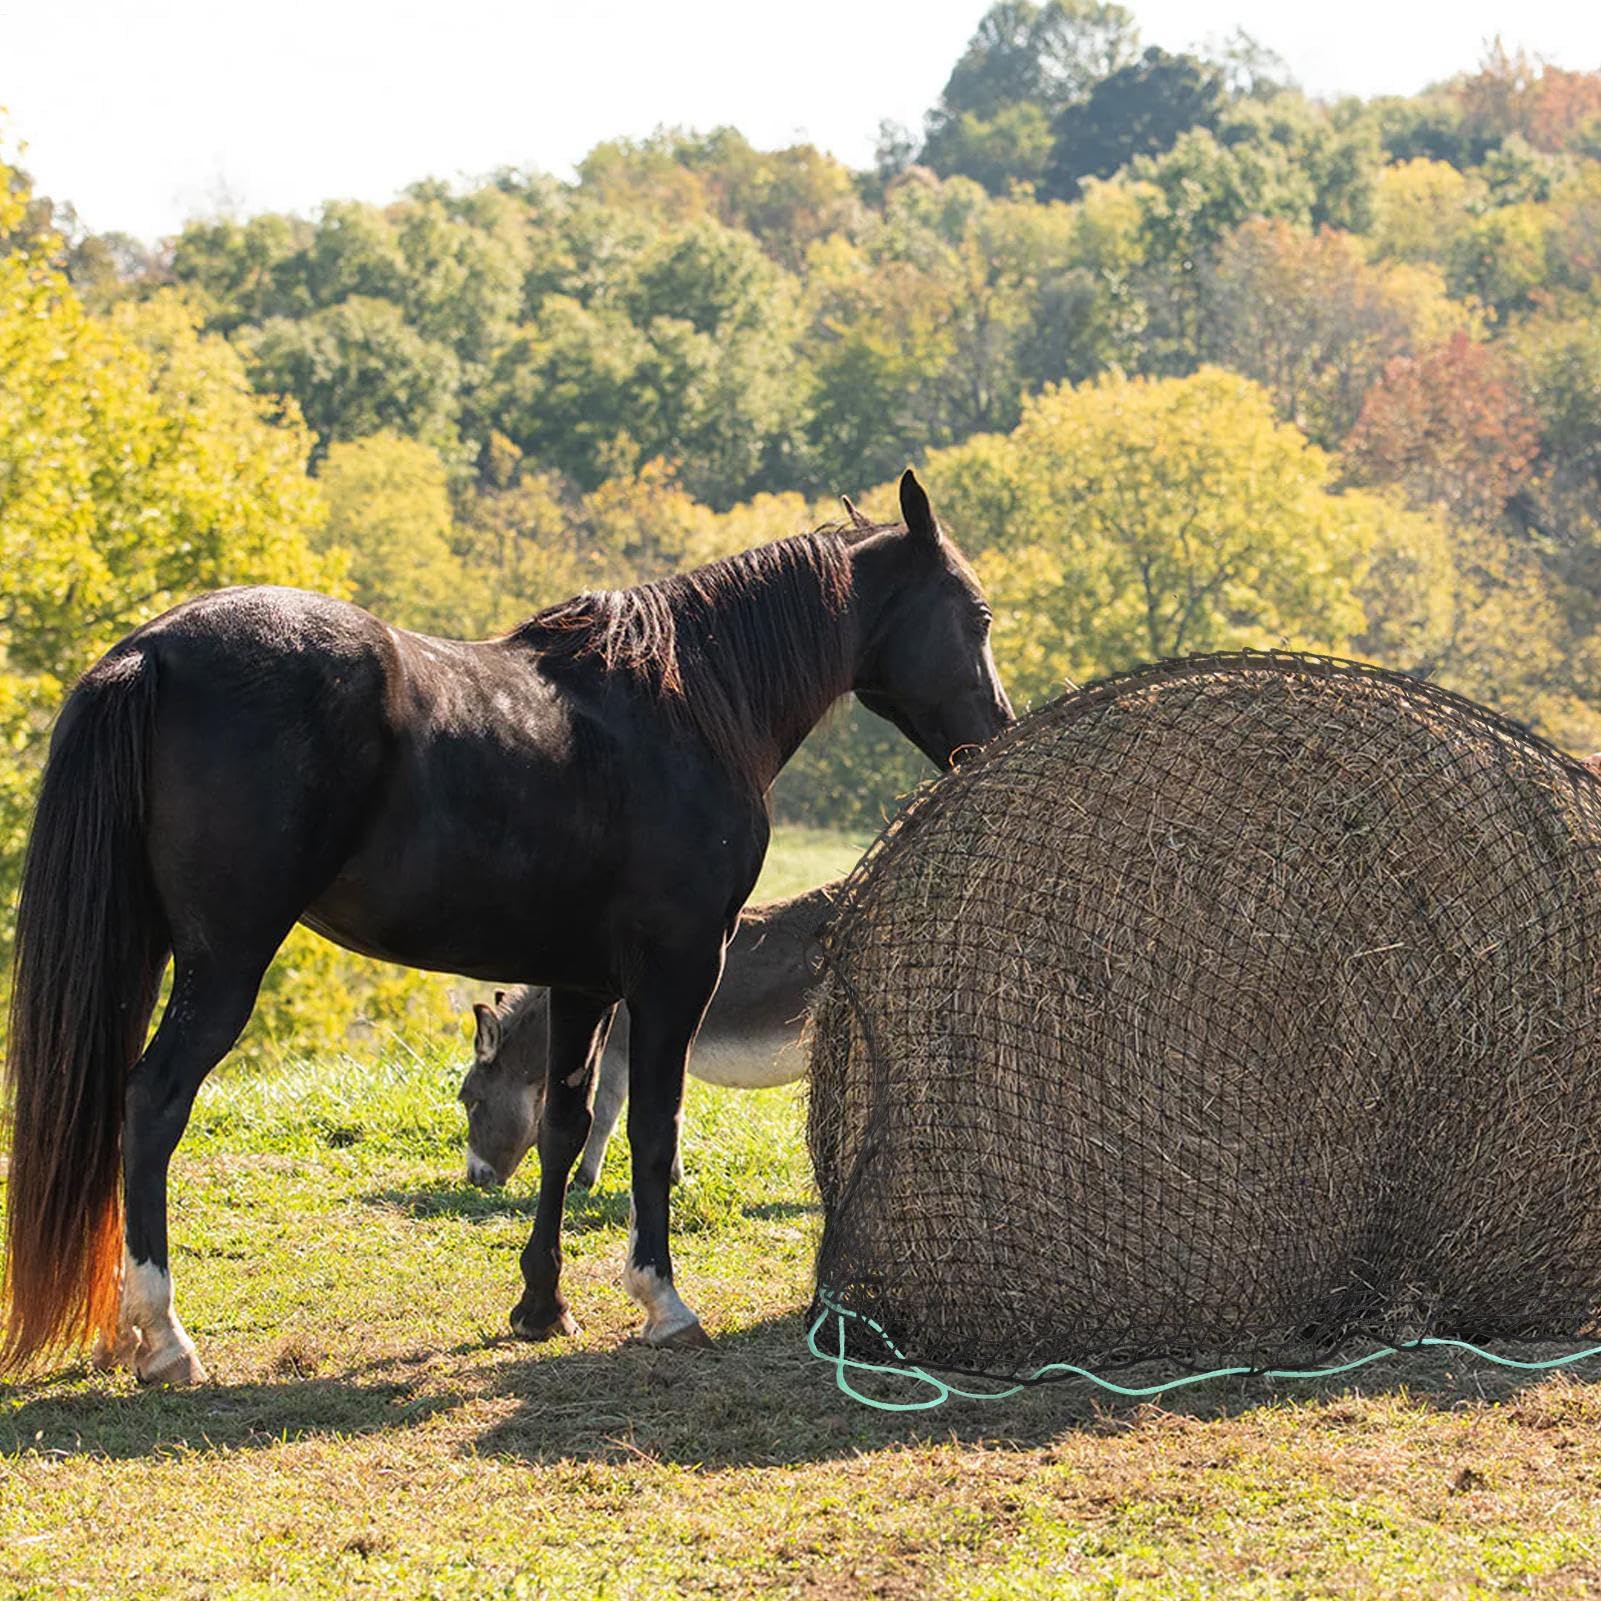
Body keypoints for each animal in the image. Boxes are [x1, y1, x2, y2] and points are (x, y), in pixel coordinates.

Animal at [462, 880, 837, 1191]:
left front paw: (583, 1181)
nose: (475, 1179)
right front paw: (674, 1177)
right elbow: (673, 1111)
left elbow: (605, 1115)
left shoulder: (619, 1053)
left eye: (470, 1101)